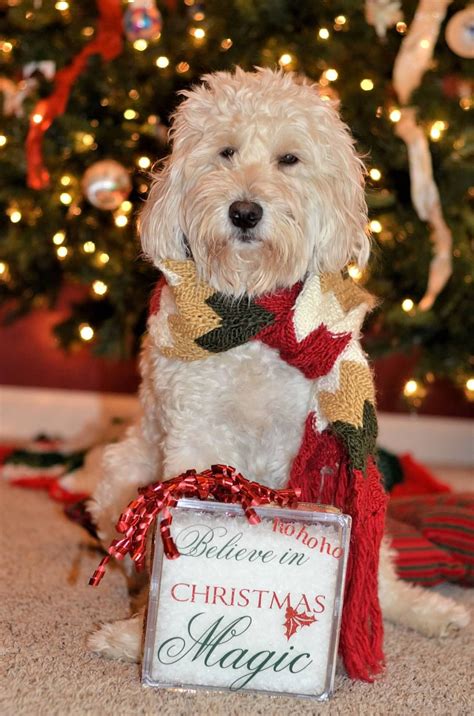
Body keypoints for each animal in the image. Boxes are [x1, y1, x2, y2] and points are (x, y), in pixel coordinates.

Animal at [87, 70, 468, 664]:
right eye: (225, 152)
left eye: (289, 159)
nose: (244, 212)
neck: (256, 317)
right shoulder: (197, 436)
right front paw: (144, 631)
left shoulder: (315, 451)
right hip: (119, 473)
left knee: (382, 576)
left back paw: (427, 611)